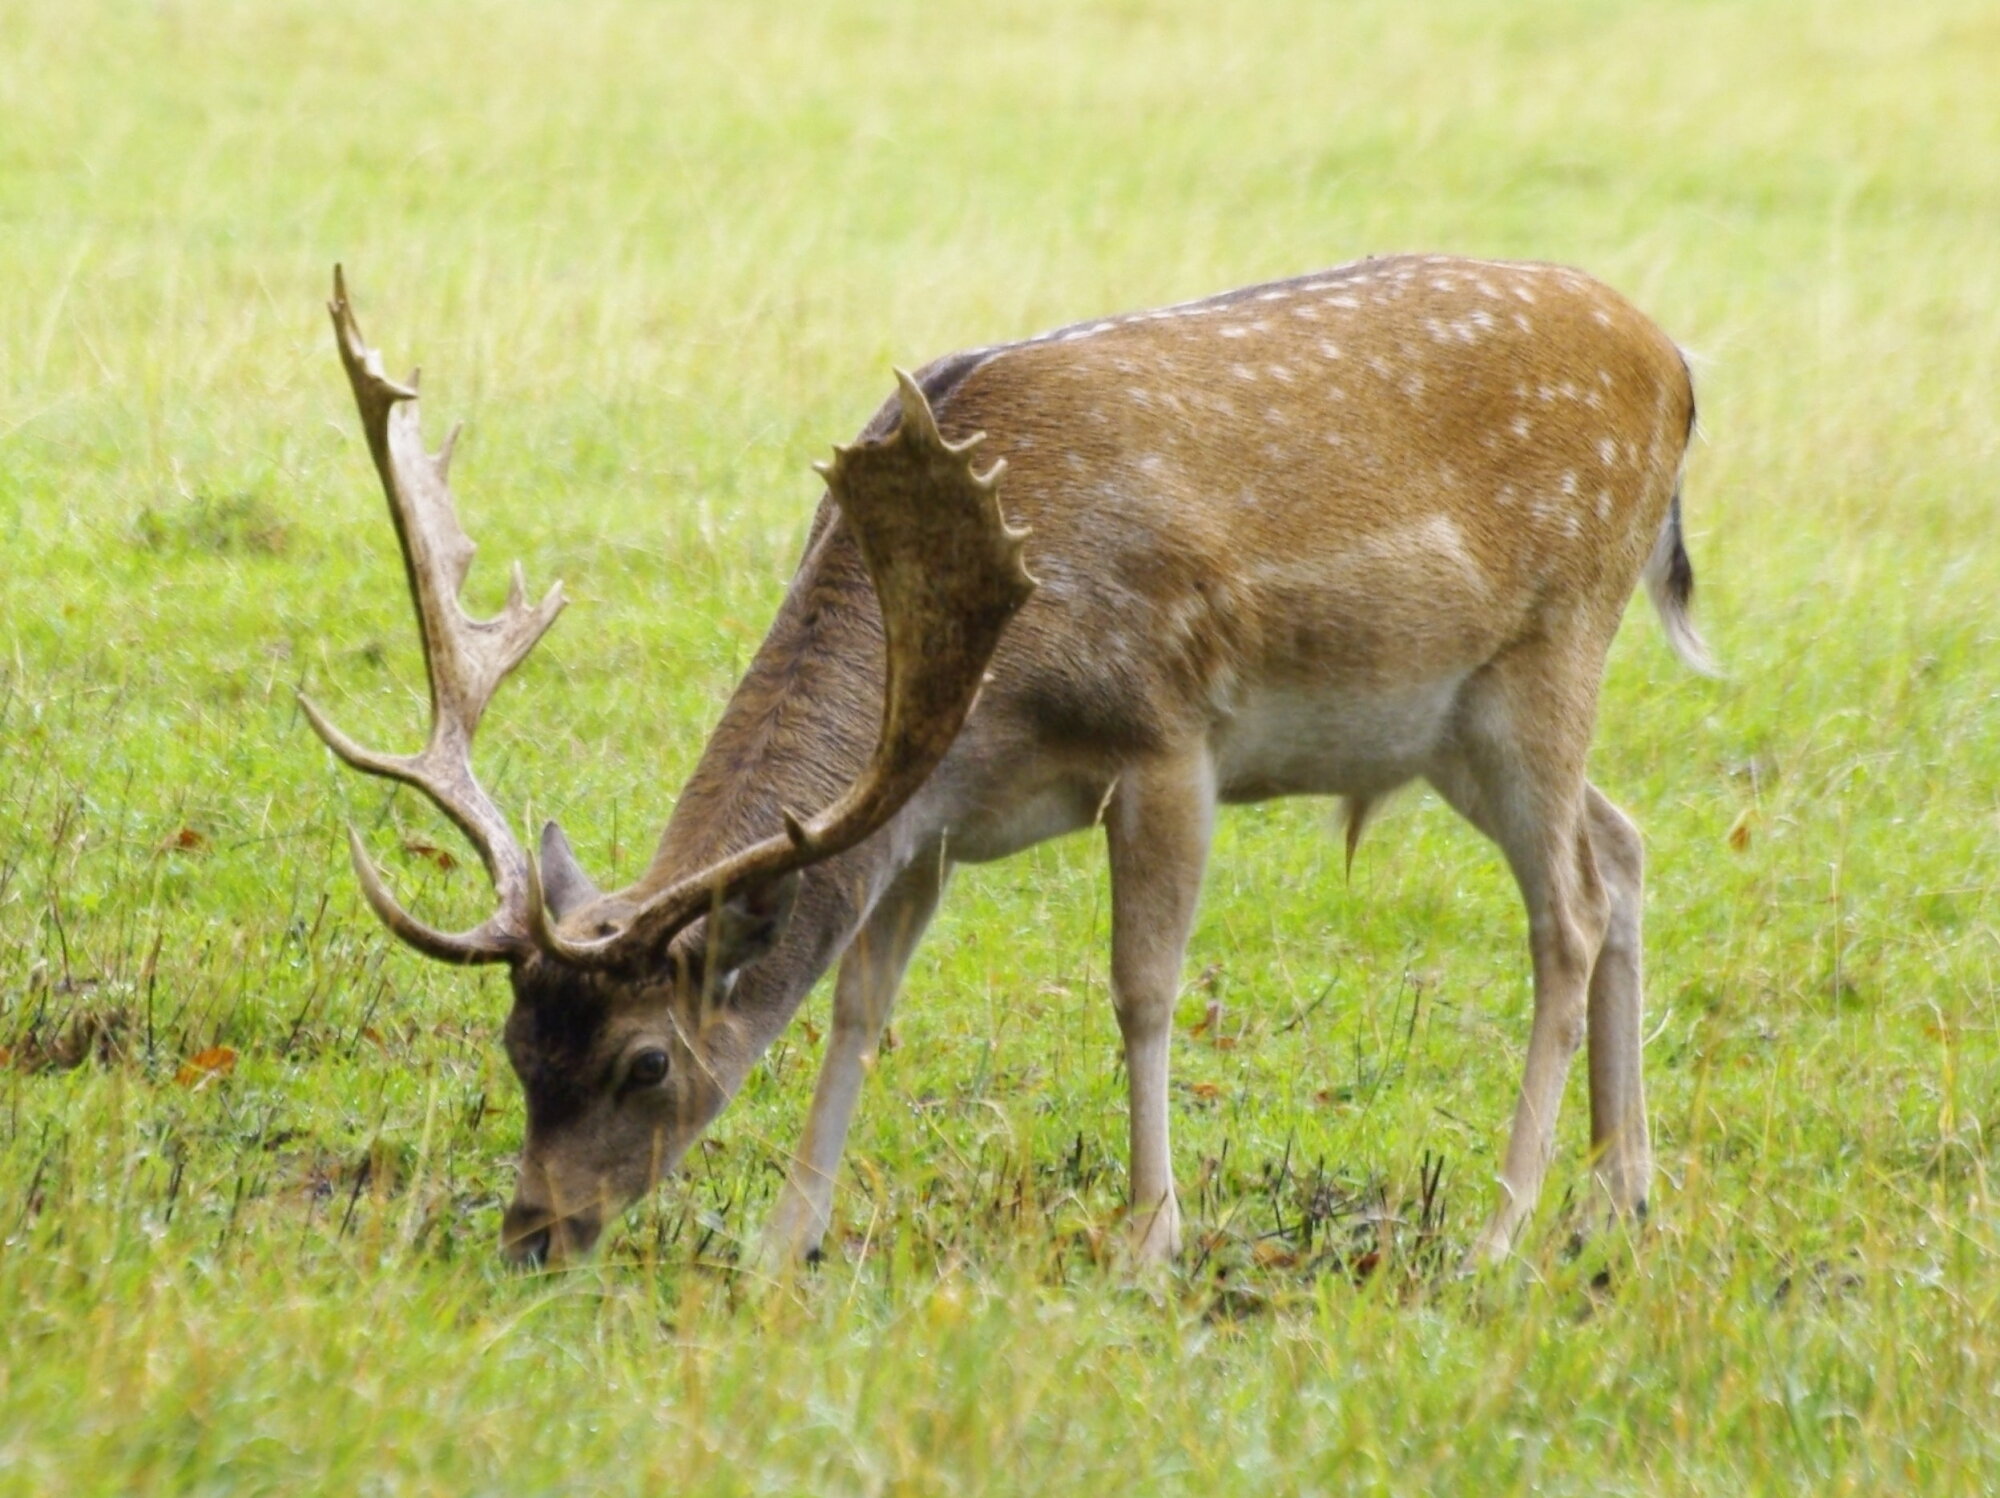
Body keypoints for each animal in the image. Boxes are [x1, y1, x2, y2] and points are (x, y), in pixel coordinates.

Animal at [302, 256, 1709, 1270]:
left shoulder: (1167, 736)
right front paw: (783, 1240)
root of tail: (1679, 367)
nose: (534, 1234)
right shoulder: (920, 811)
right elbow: (860, 1002)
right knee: (1624, 844)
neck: (993, 684)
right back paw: (1616, 1197)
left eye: (643, 1061)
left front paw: (1147, 1238)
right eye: (513, 1046)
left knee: (1568, 909)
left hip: (1552, 644)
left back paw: (1503, 1225)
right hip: (1449, 723)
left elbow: (1141, 988)